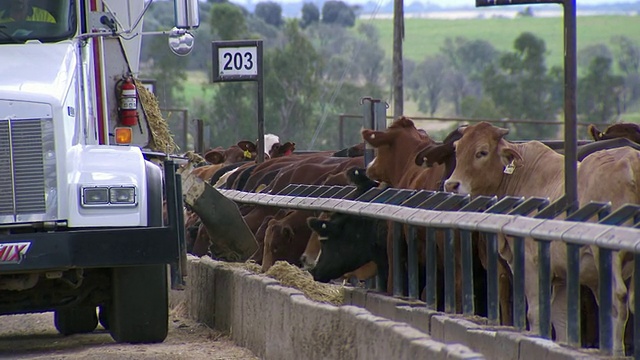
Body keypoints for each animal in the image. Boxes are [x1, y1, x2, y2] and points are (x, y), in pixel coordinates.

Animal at [444, 121, 640, 354]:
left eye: (482, 152)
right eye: (457, 149)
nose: (451, 185)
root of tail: (630, 161)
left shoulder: (531, 265)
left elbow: (535, 312)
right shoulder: (562, 275)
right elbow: (561, 318)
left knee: (617, 301)